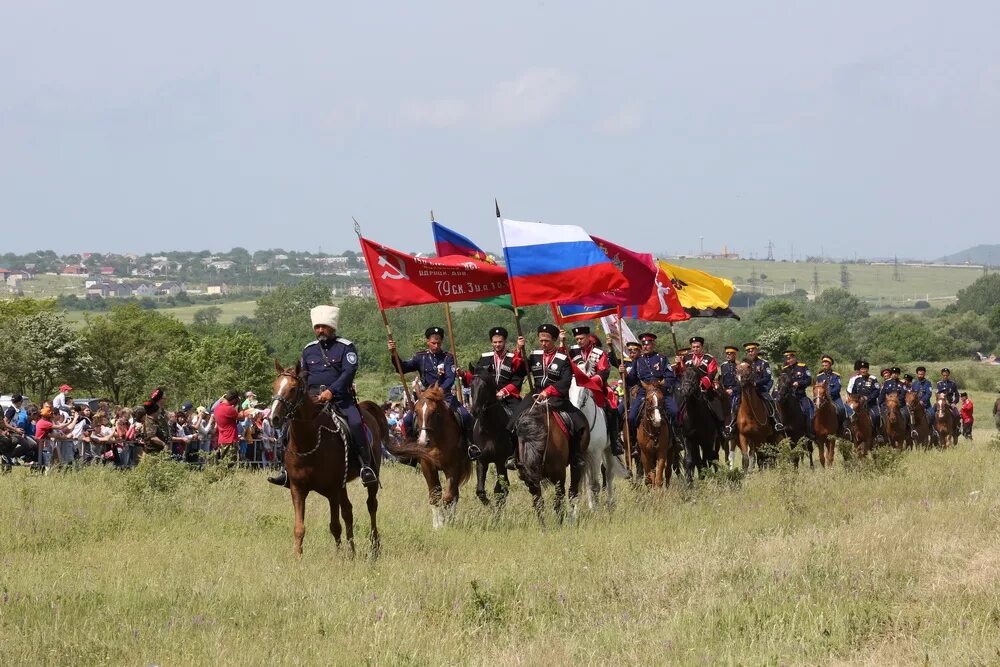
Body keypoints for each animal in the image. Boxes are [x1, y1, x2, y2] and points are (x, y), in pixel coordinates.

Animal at [270, 362, 386, 556]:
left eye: (293, 389)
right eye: (274, 386)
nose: (273, 418)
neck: (308, 442)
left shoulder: (332, 491)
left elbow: (335, 525)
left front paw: (339, 556)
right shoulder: (297, 489)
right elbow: (299, 528)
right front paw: (297, 556)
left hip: (371, 478)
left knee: (371, 505)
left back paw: (374, 546)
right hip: (343, 486)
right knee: (348, 511)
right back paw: (352, 550)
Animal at [386, 384, 472, 528]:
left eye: (435, 412)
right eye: (416, 411)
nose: (422, 442)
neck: (437, 439)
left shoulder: (453, 467)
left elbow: (448, 497)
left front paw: (446, 521)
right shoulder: (427, 466)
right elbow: (434, 496)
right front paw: (438, 524)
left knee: (454, 495)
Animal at [468, 366, 516, 506]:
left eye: (485, 385)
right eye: (471, 385)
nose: (474, 411)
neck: (489, 430)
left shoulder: (500, 461)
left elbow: (500, 490)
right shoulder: (481, 461)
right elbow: (480, 491)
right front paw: (489, 506)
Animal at [512, 396, 588, 528]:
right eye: (528, 485)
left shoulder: (559, 475)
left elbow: (558, 500)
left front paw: (559, 525)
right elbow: (540, 503)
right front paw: (544, 527)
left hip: (577, 464)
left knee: (573, 491)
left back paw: (572, 518)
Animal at [572, 378, 624, 508]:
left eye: (583, 389)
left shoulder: (595, 455)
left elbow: (594, 484)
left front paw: (595, 509)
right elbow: (577, 485)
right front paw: (575, 510)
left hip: (608, 450)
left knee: (609, 474)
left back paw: (610, 503)